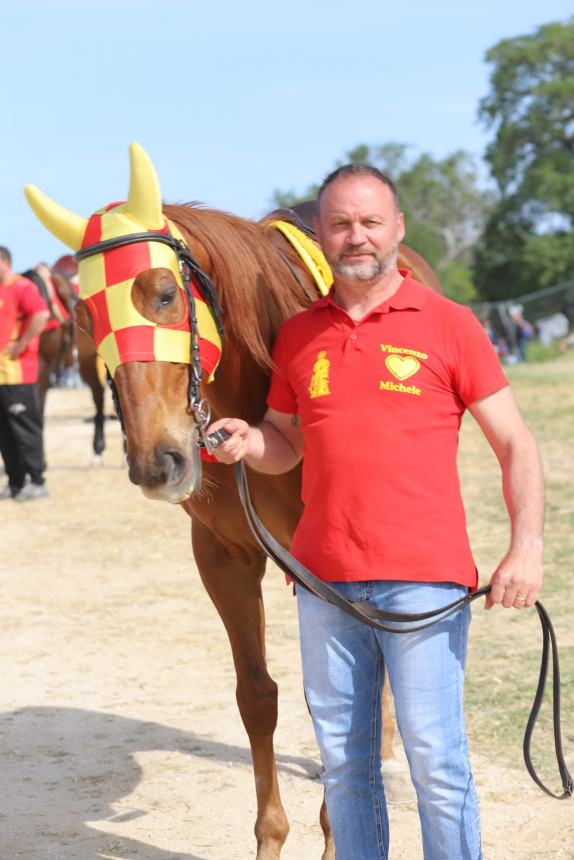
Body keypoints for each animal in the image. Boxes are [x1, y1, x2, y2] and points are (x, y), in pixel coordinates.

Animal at [25, 144, 446, 856]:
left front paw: (339, 834)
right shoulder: (223, 556)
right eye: (85, 318)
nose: (157, 462)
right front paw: (272, 837)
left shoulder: (325, 567)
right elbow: (258, 696)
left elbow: (338, 701)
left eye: (164, 294)